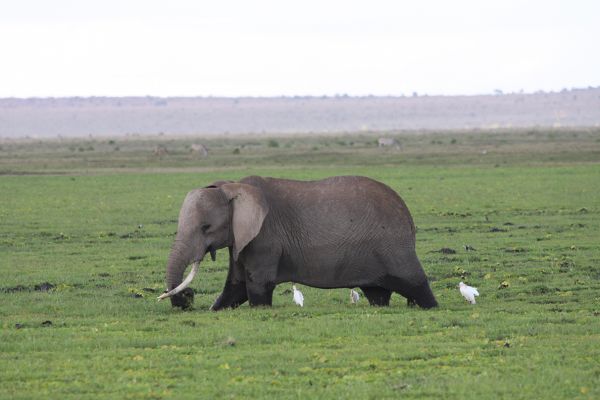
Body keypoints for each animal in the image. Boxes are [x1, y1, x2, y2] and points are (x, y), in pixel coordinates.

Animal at [159, 175, 438, 310]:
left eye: (206, 228)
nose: (187, 297)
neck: (231, 186)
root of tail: (407, 215)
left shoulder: (265, 238)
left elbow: (257, 288)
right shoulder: (240, 239)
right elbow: (235, 289)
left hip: (394, 246)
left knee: (416, 286)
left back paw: (430, 307)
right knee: (378, 294)